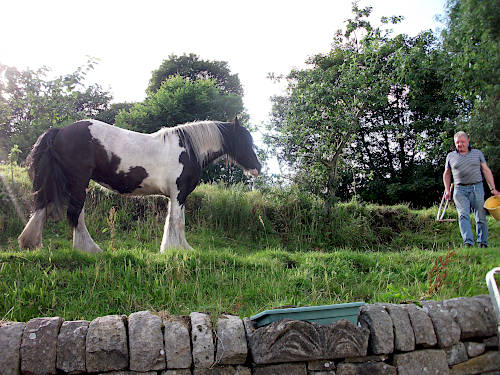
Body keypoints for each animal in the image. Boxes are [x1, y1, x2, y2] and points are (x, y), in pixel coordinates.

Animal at [18, 117, 262, 253]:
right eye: (244, 141)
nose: (257, 168)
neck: (188, 149)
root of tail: (59, 131)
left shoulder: (177, 196)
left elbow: (175, 221)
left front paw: (181, 249)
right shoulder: (179, 193)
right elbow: (177, 222)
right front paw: (174, 250)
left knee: (45, 207)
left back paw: (32, 243)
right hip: (78, 182)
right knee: (75, 214)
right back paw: (89, 250)